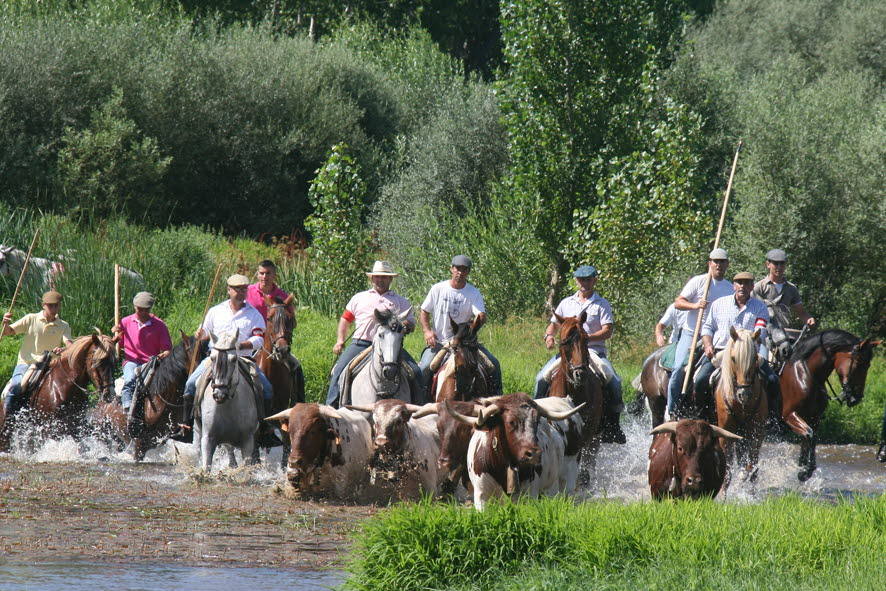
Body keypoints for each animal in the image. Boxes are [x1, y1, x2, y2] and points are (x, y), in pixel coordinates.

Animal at [194, 328, 260, 472]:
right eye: (212, 357)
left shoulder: (248, 441)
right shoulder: (208, 439)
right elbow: (206, 467)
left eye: (234, 359)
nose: (220, 394)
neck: (228, 405)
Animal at [712, 326, 768, 488]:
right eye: (733, 358)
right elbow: (727, 473)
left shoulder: (757, 433)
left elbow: (753, 469)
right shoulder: (725, 435)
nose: (744, 394)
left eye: (754, 358)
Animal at [784, 328, 880, 480]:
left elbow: (811, 439)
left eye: (869, 365)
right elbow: (809, 435)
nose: (857, 398)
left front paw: (805, 468)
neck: (805, 374)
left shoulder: (814, 418)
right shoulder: (789, 415)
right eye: (859, 363)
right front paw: (804, 472)